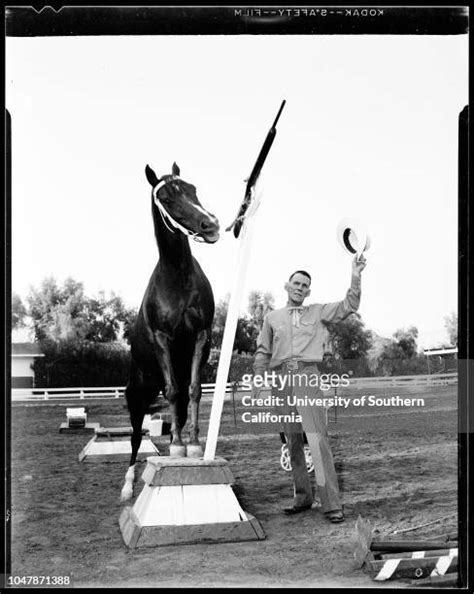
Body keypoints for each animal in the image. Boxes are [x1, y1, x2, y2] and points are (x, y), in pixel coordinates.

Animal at [121, 161, 219, 500]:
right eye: (166, 197)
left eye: (192, 189)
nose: (210, 225)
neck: (177, 277)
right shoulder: (162, 339)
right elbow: (175, 392)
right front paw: (177, 445)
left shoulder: (201, 336)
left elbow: (193, 390)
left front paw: (193, 445)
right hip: (136, 395)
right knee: (136, 437)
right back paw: (127, 486)